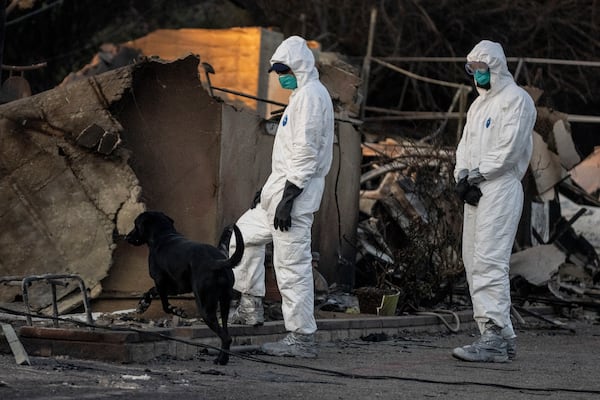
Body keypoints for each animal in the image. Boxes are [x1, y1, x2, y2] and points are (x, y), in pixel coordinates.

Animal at [126, 212, 244, 366]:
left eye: (136, 225)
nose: (126, 237)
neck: (163, 235)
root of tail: (217, 261)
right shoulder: (176, 287)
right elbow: (152, 291)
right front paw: (143, 304)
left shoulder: (160, 281)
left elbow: (165, 305)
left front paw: (177, 311)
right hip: (224, 304)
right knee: (226, 332)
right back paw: (221, 358)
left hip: (205, 308)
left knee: (226, 337)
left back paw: (221, 360)